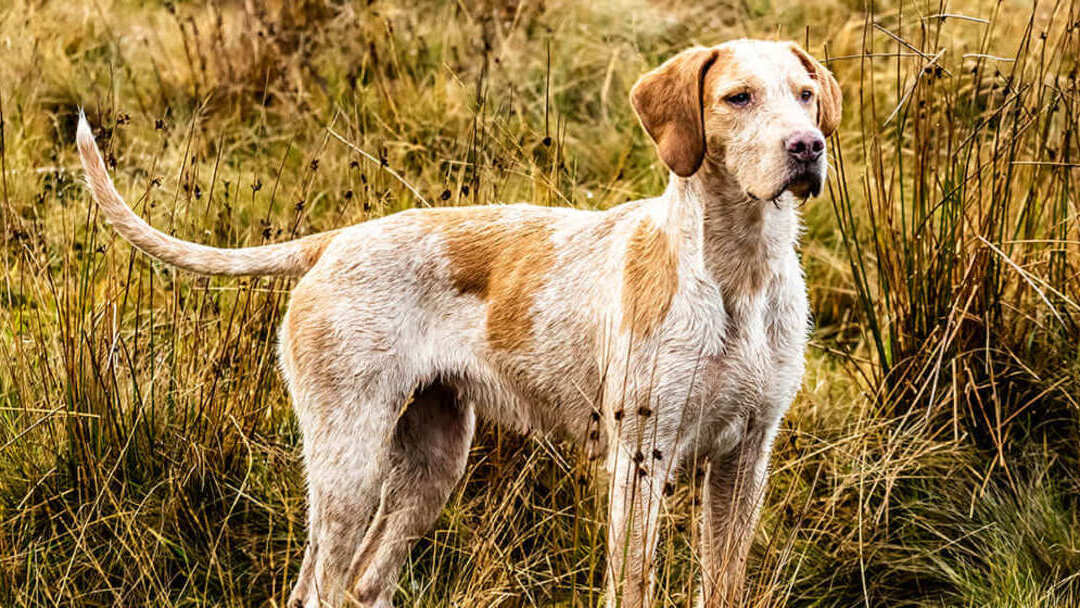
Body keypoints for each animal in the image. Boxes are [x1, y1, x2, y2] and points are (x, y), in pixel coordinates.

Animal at [78, 39, 842, 608]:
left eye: (805, 94)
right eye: (737, 98)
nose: (807, 147)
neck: (740, 273)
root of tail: (337, 241)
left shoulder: (744, 460)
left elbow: (725, 580)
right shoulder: (641, 459)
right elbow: (632, 583)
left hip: (433, 461)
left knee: (365, 583)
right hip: (349, 464)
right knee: (319, 588)